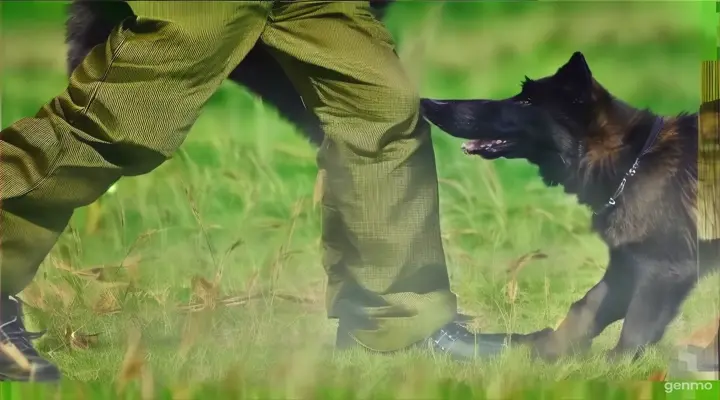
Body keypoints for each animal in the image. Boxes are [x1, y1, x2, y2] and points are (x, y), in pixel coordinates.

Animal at [422, 51, 720, 364]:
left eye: (526, 102)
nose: (430, 103)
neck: (631, 161)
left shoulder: (662, 269)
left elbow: (635, 327)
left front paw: (616, 367)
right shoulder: (625, 265)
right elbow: (584, 309)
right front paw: (537, 352)